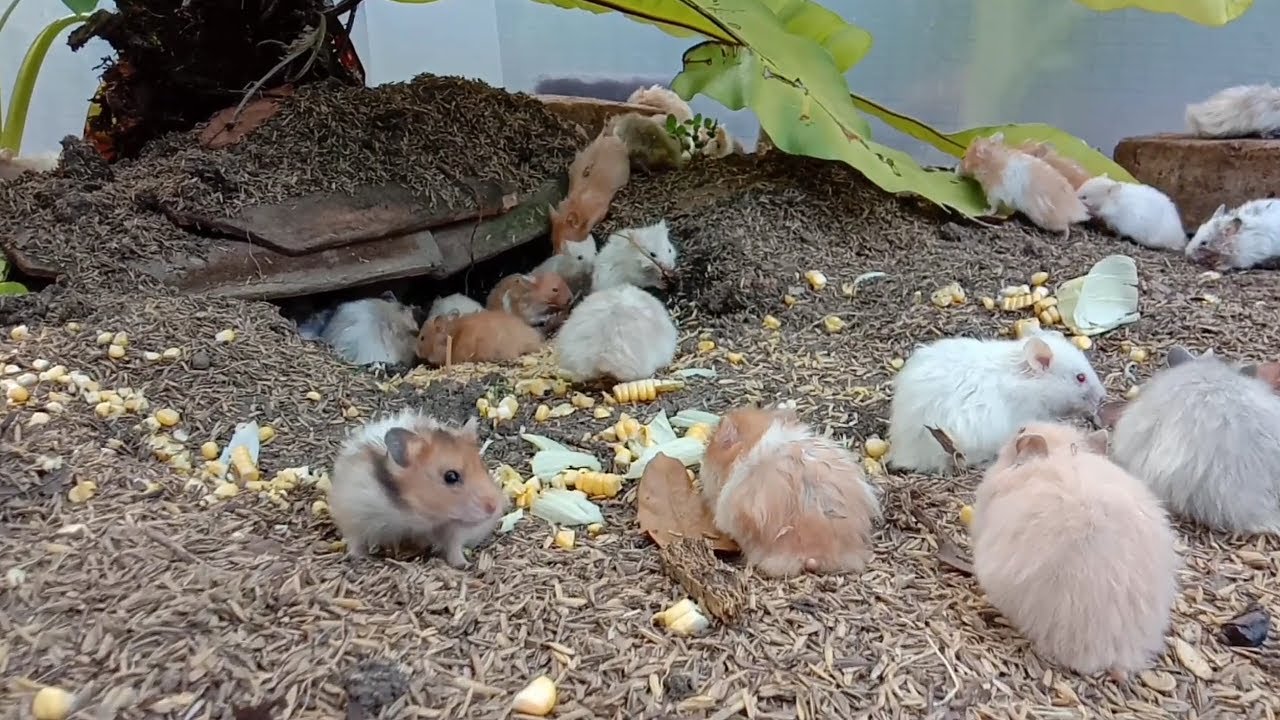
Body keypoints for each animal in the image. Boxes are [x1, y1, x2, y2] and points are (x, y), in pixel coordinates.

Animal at [328, 409, 505, 567]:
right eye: (451, 476)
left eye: (484, 468)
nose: (494, 508)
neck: (418, 515)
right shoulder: (354, 514)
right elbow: (355, 541)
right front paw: (357, 558)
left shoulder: (455, 531)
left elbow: (454, 549)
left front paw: (464, 564)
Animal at [957, 133, 1090, 237]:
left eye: (963, 157)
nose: (956, 170)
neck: (991, 160)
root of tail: (1080, 212)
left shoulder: (993, 193)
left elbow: (993, 208)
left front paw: (984, 210)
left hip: (1047, 220)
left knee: (1065, 227)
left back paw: (1064, 238)